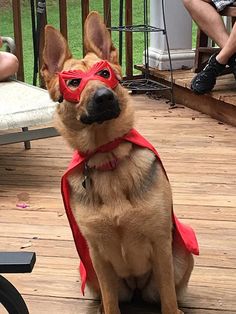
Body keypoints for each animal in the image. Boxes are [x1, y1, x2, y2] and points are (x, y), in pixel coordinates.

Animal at [41, 11, 198, 314]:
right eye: (74, 83)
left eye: (105, 74)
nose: (104, 97)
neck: (107, 158)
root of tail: (136, 287)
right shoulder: (97, 255)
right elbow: (110, 299)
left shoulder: (161, 244)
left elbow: (169, 299)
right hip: (90, 273)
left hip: (181, 257)